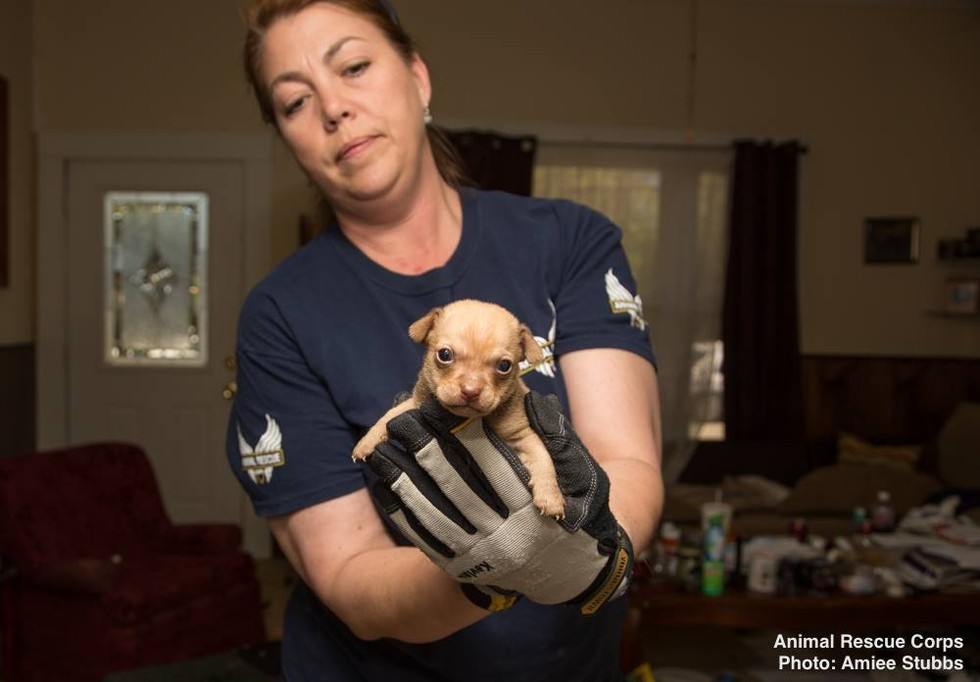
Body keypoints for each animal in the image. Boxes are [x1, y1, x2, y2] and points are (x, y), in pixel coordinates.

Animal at [354, 298, 568, 516]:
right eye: (444, 354)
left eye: (504, 366)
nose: (470, 391)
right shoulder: (417, 403)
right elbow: (391, 414)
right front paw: (367, 441)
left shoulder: (522, 435)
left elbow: (543, 459)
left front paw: (551, 498)